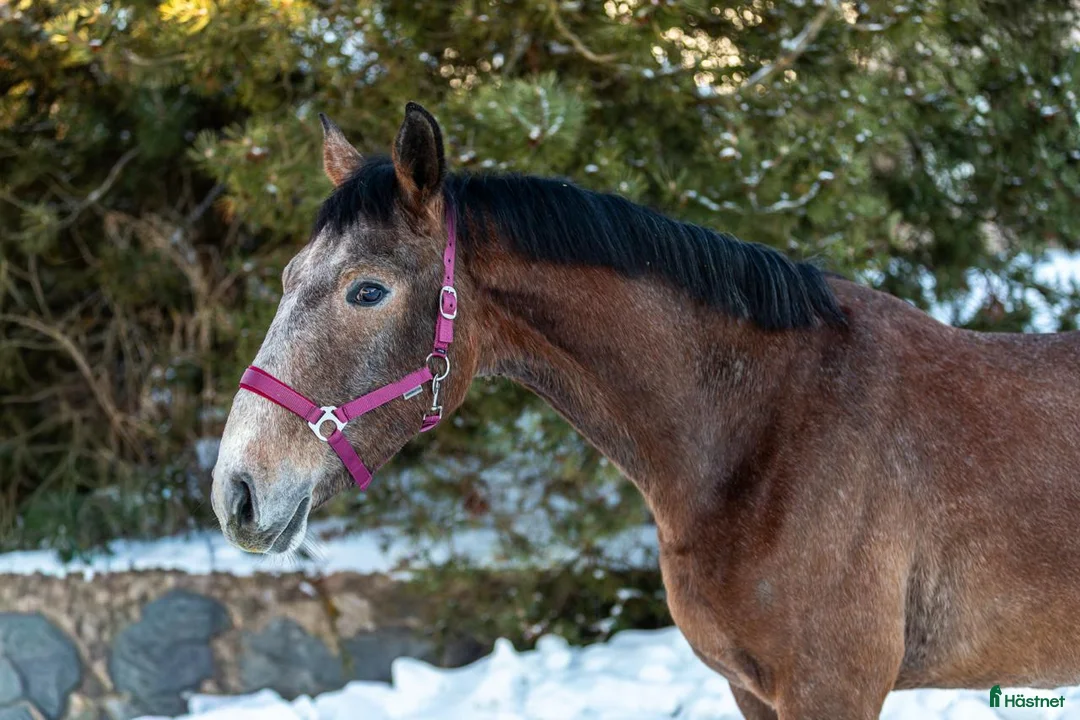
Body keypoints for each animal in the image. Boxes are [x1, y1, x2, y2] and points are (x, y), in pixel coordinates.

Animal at [211, 102, 1080, 719]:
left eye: (367, 290)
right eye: (288, 276)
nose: (237, 491)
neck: (768, 427)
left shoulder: (832, 690)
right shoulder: (751, 691)